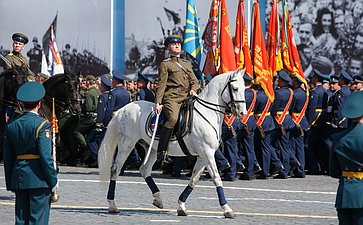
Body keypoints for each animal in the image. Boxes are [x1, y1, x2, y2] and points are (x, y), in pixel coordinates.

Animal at [99, 68, 247, 218]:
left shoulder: (203, 156)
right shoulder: (207, 153)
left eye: (244, 88)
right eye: (235, 88)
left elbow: (194, 180)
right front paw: (227, 209)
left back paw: (158, 199)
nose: (243, 112)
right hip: (126, 145)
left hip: (152, 149)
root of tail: (122, 110)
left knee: (144, 170)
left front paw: (181, 206)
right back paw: (112, 205)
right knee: (116, 169)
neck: (207, 113)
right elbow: (216, 178)